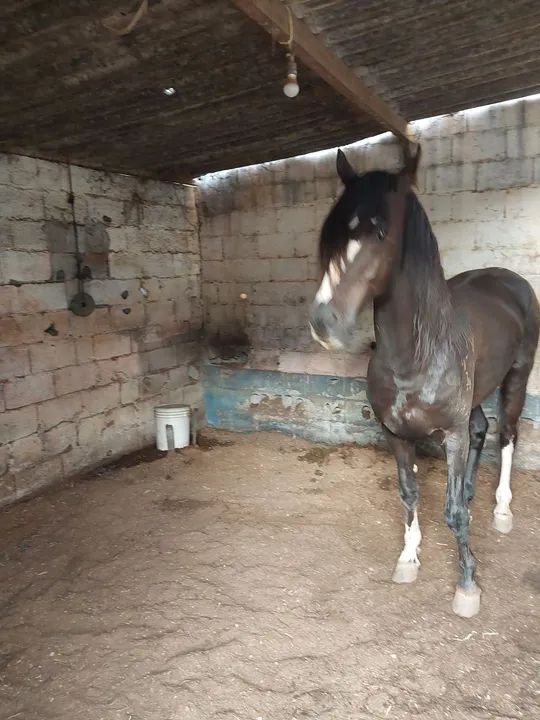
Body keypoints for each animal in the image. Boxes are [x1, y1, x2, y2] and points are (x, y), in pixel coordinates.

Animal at [309, 146, 539, 618]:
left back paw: (501, 509)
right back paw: (471, 491)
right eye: (332, 236)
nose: (324, 322)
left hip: (516, 378)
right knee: (481, 429)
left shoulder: (449, 434)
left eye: (380, 232)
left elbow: (451, 514)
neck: (415, 353)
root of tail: (511, 278)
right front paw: (408, 558)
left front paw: (467, 584)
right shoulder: (396, 435)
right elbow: (409, 493)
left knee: (507, 434)